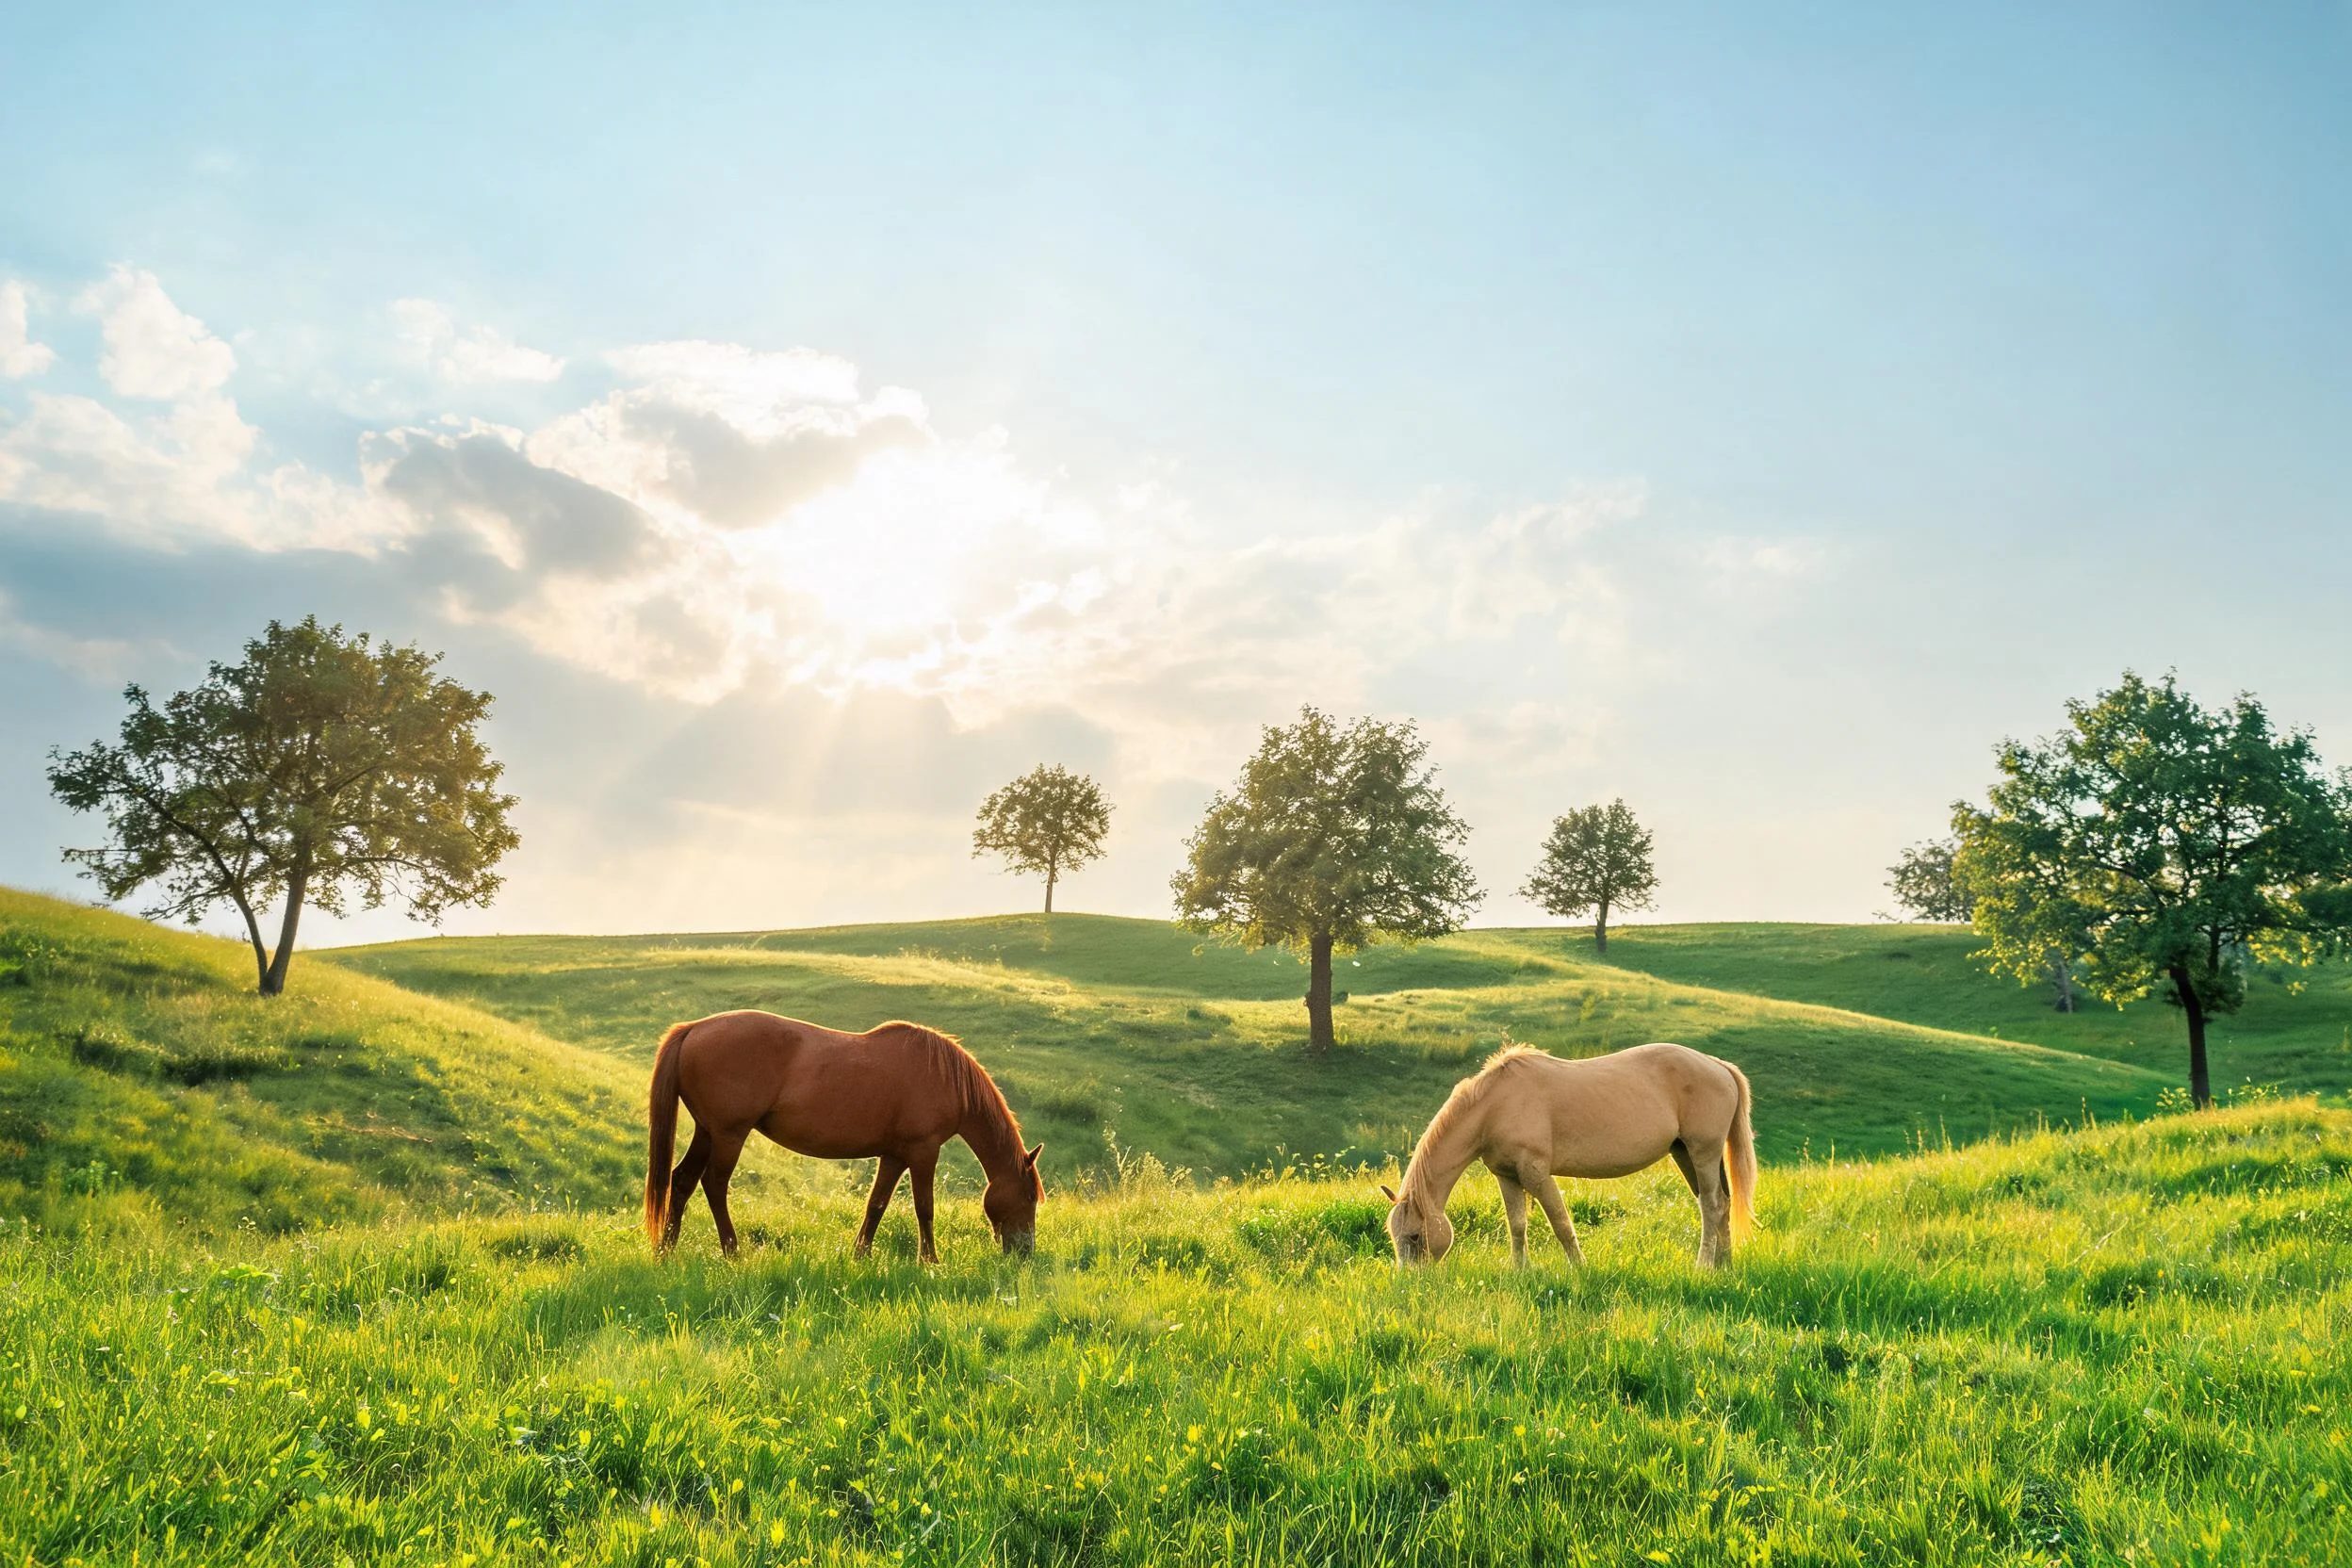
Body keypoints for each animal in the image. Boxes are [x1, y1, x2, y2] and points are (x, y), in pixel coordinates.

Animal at [644, 1011, 1043, 1260]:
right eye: (1029, 1197)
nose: (1025, 1252)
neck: (944, 1078)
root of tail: (693, 1028)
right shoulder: (923, 1152)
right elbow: (924, 1208)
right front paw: (930, 1261)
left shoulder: (894, 1155)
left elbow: (876, 1204)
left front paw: (860, 1254)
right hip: (729, 1135)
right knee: (714, 1184)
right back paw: (732, 1252)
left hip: (707, 1132)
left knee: (682, 1181)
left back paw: (667, 1251)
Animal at [1382, 1042, 1756, 1269]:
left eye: (1414, 1236)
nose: (1411, 1281)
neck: (1495, 1106)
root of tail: (1718, 1065)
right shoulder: (1507, 1177)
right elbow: (1517, 1226)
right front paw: (1520, 1270)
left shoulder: (1536, 1174)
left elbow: (1561, 1223)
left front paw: (1580, 1269)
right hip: (1686, 1154)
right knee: (1722, 1203)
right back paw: (1724, 1265)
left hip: (1702, 1151)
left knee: (1712, 1205)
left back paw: (1703, 1266)